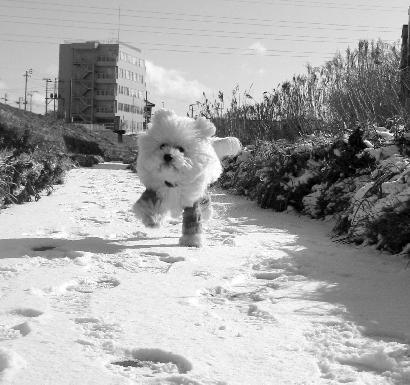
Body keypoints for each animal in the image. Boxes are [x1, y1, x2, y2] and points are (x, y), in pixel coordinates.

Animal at [133, 108, 240, 246]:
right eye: (162, 145)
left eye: (181, 149)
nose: (168, 156)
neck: (173, 183)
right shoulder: (155, 192)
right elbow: (148, 206)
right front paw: (152, 220)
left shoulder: (191, 204)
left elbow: (192, 222)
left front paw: (191, 241)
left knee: (206, 208)